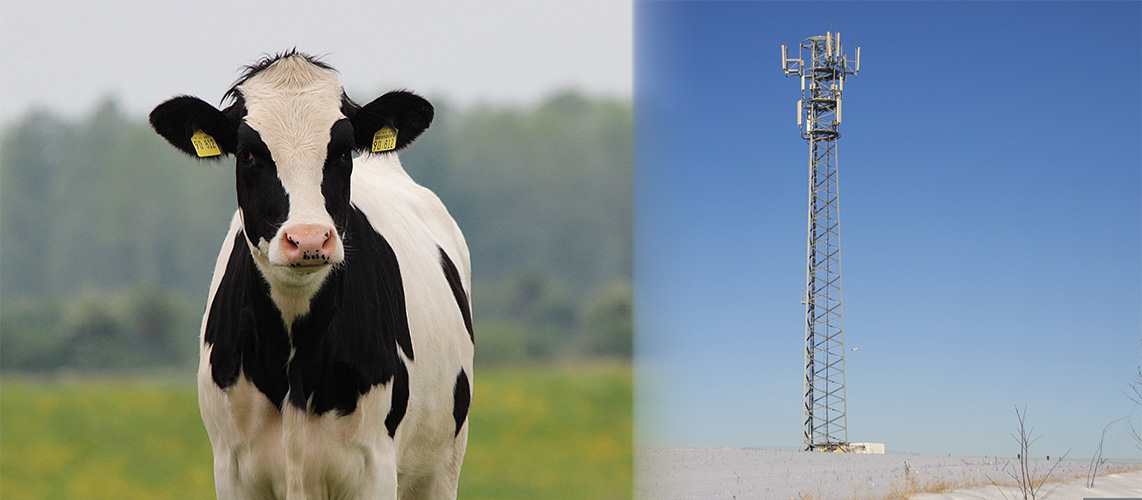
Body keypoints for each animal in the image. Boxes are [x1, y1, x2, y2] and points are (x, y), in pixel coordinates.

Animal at [149, 51, 473, 500]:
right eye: (248, 154)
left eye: (343, 152)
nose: (307, 239)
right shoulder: (232, 470)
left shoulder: (375, 468)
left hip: (441, 468)